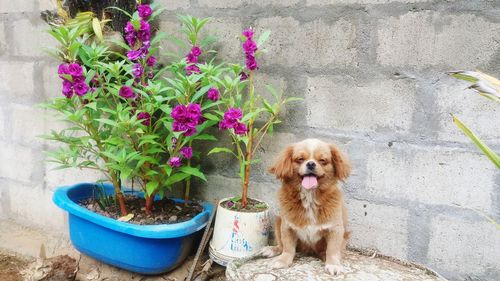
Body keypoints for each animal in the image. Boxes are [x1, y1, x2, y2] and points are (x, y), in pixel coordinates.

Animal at [262, 139, 352, 274]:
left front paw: (333, 264)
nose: (310, 164)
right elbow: (288, 248)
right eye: (300, 159)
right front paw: (283, 260)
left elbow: (332, 250)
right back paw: (272, 250)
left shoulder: (336, 229)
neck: (310, 196)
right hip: (278, 221)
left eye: (322, 160)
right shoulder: (287, 226)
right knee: (281, 245)